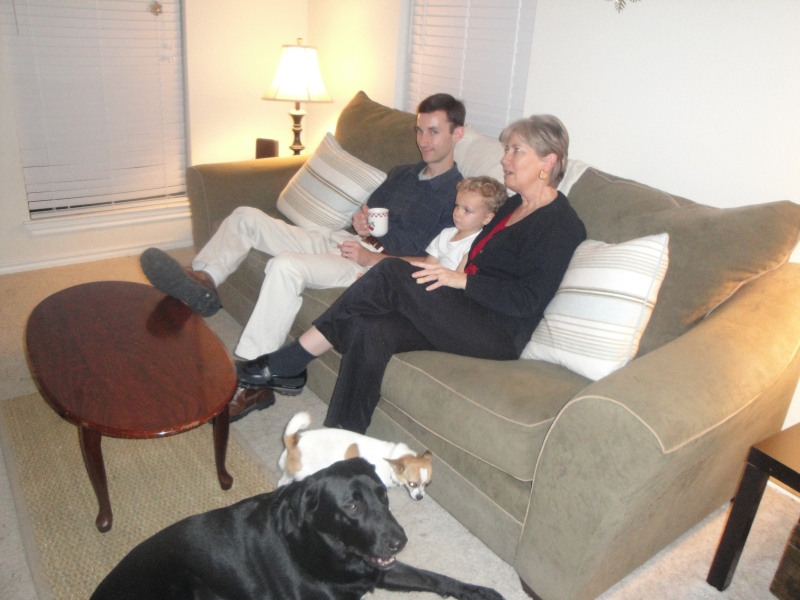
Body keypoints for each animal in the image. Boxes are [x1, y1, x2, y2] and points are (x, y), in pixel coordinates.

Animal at [91, 458, 504, 600]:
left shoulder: (376, 567)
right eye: (352, 507)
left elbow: (433, 577)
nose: (400, 541)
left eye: (384, 497)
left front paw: (478, 591)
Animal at [278, 411, 433, 500]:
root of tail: (293, 441)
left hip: (291, 473)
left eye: (427, 484)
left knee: (282, 481)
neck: (392, 458)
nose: (420, 497)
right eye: (412, 484)